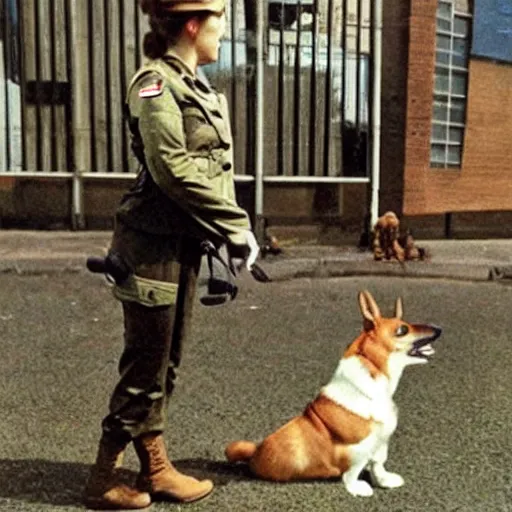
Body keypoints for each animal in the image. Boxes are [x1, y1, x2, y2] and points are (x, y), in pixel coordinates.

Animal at [226, 292, 442, 496]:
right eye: (402, 330)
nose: (439, 329)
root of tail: (255, 452)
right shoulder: (358, 450)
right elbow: (353, 473)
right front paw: (358, 488)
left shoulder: (381, 442)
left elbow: (378, 464)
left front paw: (384, 481)